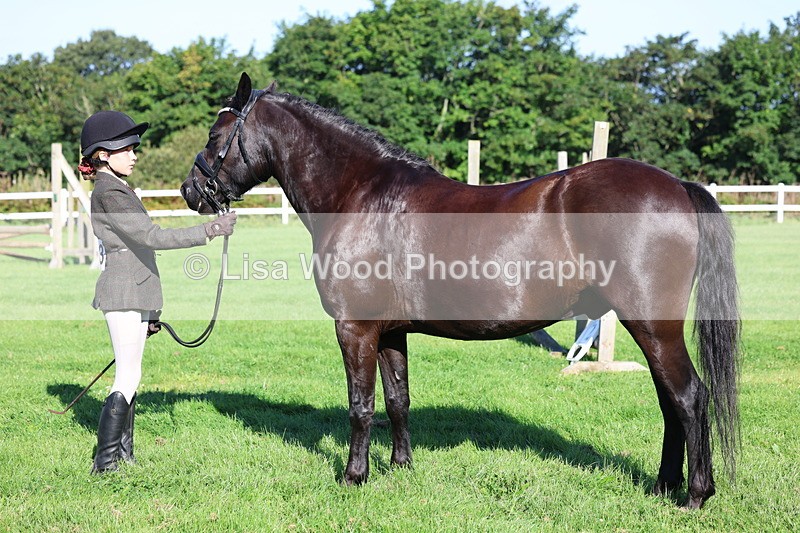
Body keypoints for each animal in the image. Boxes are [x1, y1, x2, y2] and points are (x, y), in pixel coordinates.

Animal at [181, 73, 740, 508]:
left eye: (214, 134)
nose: (190, 191)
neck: (362, 197)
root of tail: (677, 187)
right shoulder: (390, 332)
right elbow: (398, 399)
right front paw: (401, 467)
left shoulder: (354, 329)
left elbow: (361, 405)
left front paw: (354, 477)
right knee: (670, 400)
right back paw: (664, 487)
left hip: (653, 326)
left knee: (688, 396)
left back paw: (695, 495)